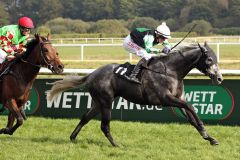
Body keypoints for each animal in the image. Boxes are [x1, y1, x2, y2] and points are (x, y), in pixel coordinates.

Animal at [48, 42, 223, 146]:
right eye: (209, 59)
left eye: (215, 58)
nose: (220, 78)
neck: (171, 71)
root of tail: (92, 74)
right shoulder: (165, 98)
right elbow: (190, 106)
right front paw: (204, 129)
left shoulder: (177, 98)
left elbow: (190, 116)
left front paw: (209, 137)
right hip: (106, 101)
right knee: (104, 125)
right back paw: (116, 144)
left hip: (99, 102)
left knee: (85, 118)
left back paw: (72, 137)